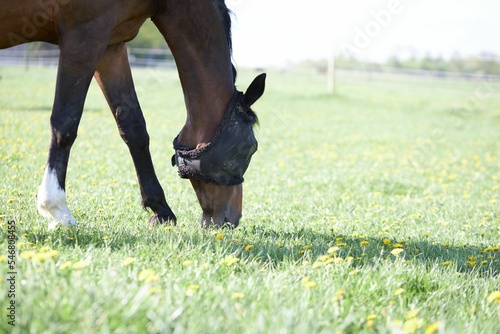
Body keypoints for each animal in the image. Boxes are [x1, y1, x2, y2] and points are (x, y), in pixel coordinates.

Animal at [0, 0, 264, 228]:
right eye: (250, 148)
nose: (232, 218)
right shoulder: (83, 36)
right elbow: (66, 122)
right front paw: (56, 208)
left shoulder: (111, 46)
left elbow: (134, 127)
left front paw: (161, 210)